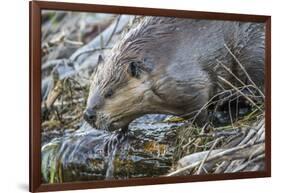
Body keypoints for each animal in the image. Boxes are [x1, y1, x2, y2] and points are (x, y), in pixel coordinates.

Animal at [82, 16, 264, 131]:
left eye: (109, 93)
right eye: (91, 90)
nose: (88, 115)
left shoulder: (186, 80)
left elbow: (199, 105)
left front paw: (209, 126)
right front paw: (117, 138)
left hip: (251, 51)